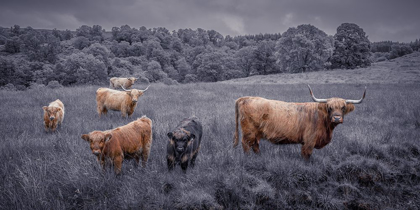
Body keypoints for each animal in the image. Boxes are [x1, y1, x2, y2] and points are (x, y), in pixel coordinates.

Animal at [233, 85, 364, 159]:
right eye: (329, 107)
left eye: (343, 107)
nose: (336, 118)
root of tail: (245, 98)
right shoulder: (309, 140)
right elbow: (306, 155)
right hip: (249, 131)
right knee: (246, 144)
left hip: (256, 133)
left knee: (255, 145)